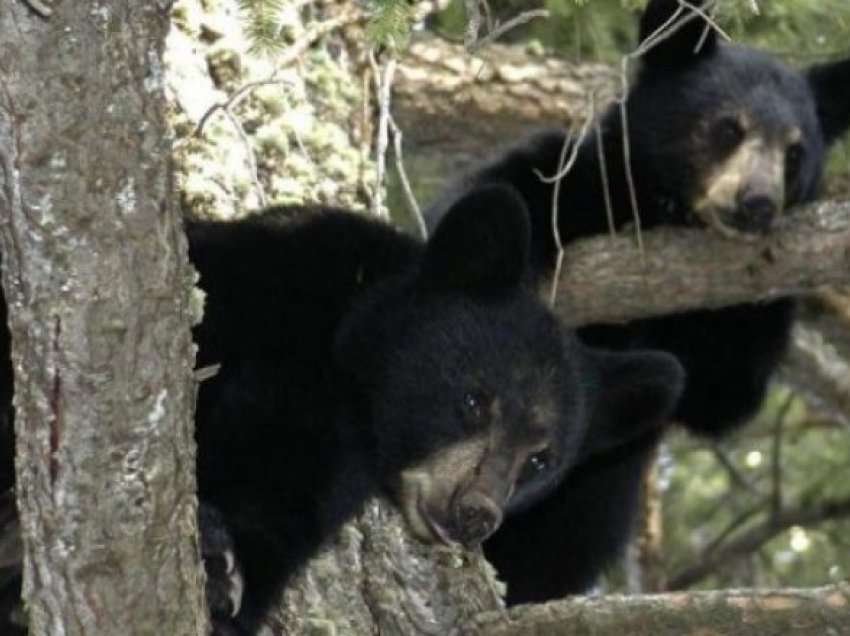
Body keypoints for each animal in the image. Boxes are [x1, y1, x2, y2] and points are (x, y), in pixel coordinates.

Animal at [0, 183, 684, 632]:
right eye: (473, 401)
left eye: (540, 461)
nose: (475, 514)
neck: (342, 372)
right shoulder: (260, 277)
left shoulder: (320, 471)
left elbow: (271, 526)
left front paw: (223, 572)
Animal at [424, 0, 848, 604]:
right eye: (728, 128)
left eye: (795, 153)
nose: (757, 204)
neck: (664, 209)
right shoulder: (578, 174)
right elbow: (483, 203)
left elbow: (724, 393)